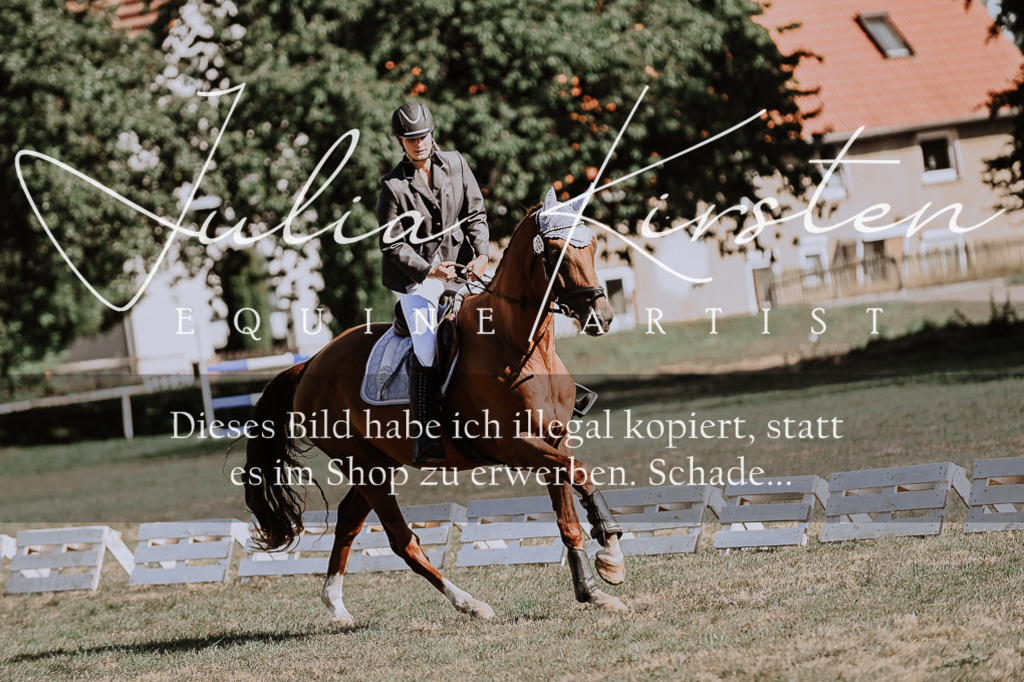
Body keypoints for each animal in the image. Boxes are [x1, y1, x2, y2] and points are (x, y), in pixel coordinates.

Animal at [242, 189, 628, 623]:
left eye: (592, 247)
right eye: (556, 252)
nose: (602, 316)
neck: (520, 347)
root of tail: (311, 363)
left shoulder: (553, 441)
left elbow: (569, 511)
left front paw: (595, 585)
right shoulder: (515, 446)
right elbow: (580, 473)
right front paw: (610, 556)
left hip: (378, 463)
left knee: (348, 521)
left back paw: (336, 605)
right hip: (365, 465)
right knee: (401, 541)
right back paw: (470, 603)